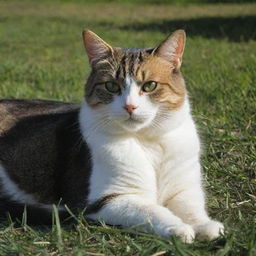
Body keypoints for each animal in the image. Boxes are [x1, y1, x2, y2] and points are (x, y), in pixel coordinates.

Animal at [0, 29, 224, 243]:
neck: (147, 140)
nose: (130, 106)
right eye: (111, 86)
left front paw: (205, 226)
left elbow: (191, 207)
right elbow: (152, 211)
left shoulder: (184, 188)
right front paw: (178, 228)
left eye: (150, 85)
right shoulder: (107, 200)